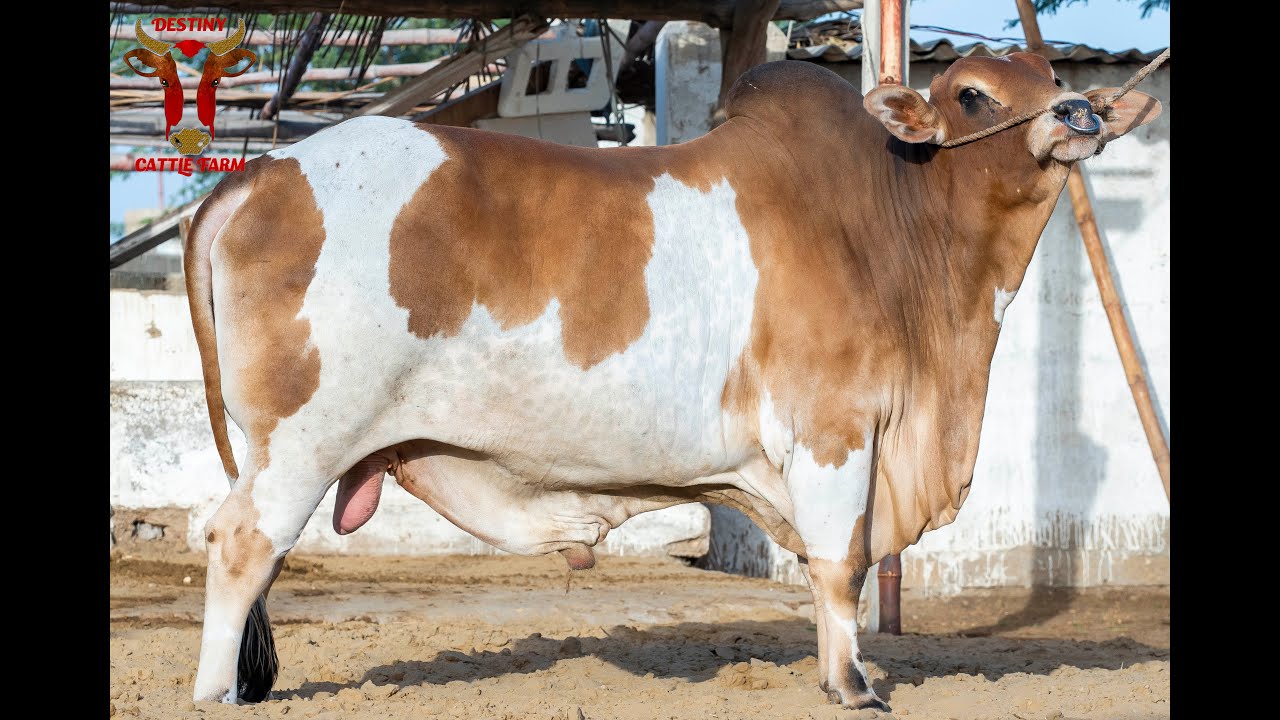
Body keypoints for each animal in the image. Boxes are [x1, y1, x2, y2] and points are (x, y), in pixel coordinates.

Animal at [182, 53, 1160, 709]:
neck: (893, 221)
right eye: (972, 94)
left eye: (1053, 73)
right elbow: (841, 565)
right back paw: (216, 695)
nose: (1079, 113)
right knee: (241, 545)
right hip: (303, 439)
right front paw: (854, 686)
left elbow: (825, 571)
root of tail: (264, 174)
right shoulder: (835, 433)